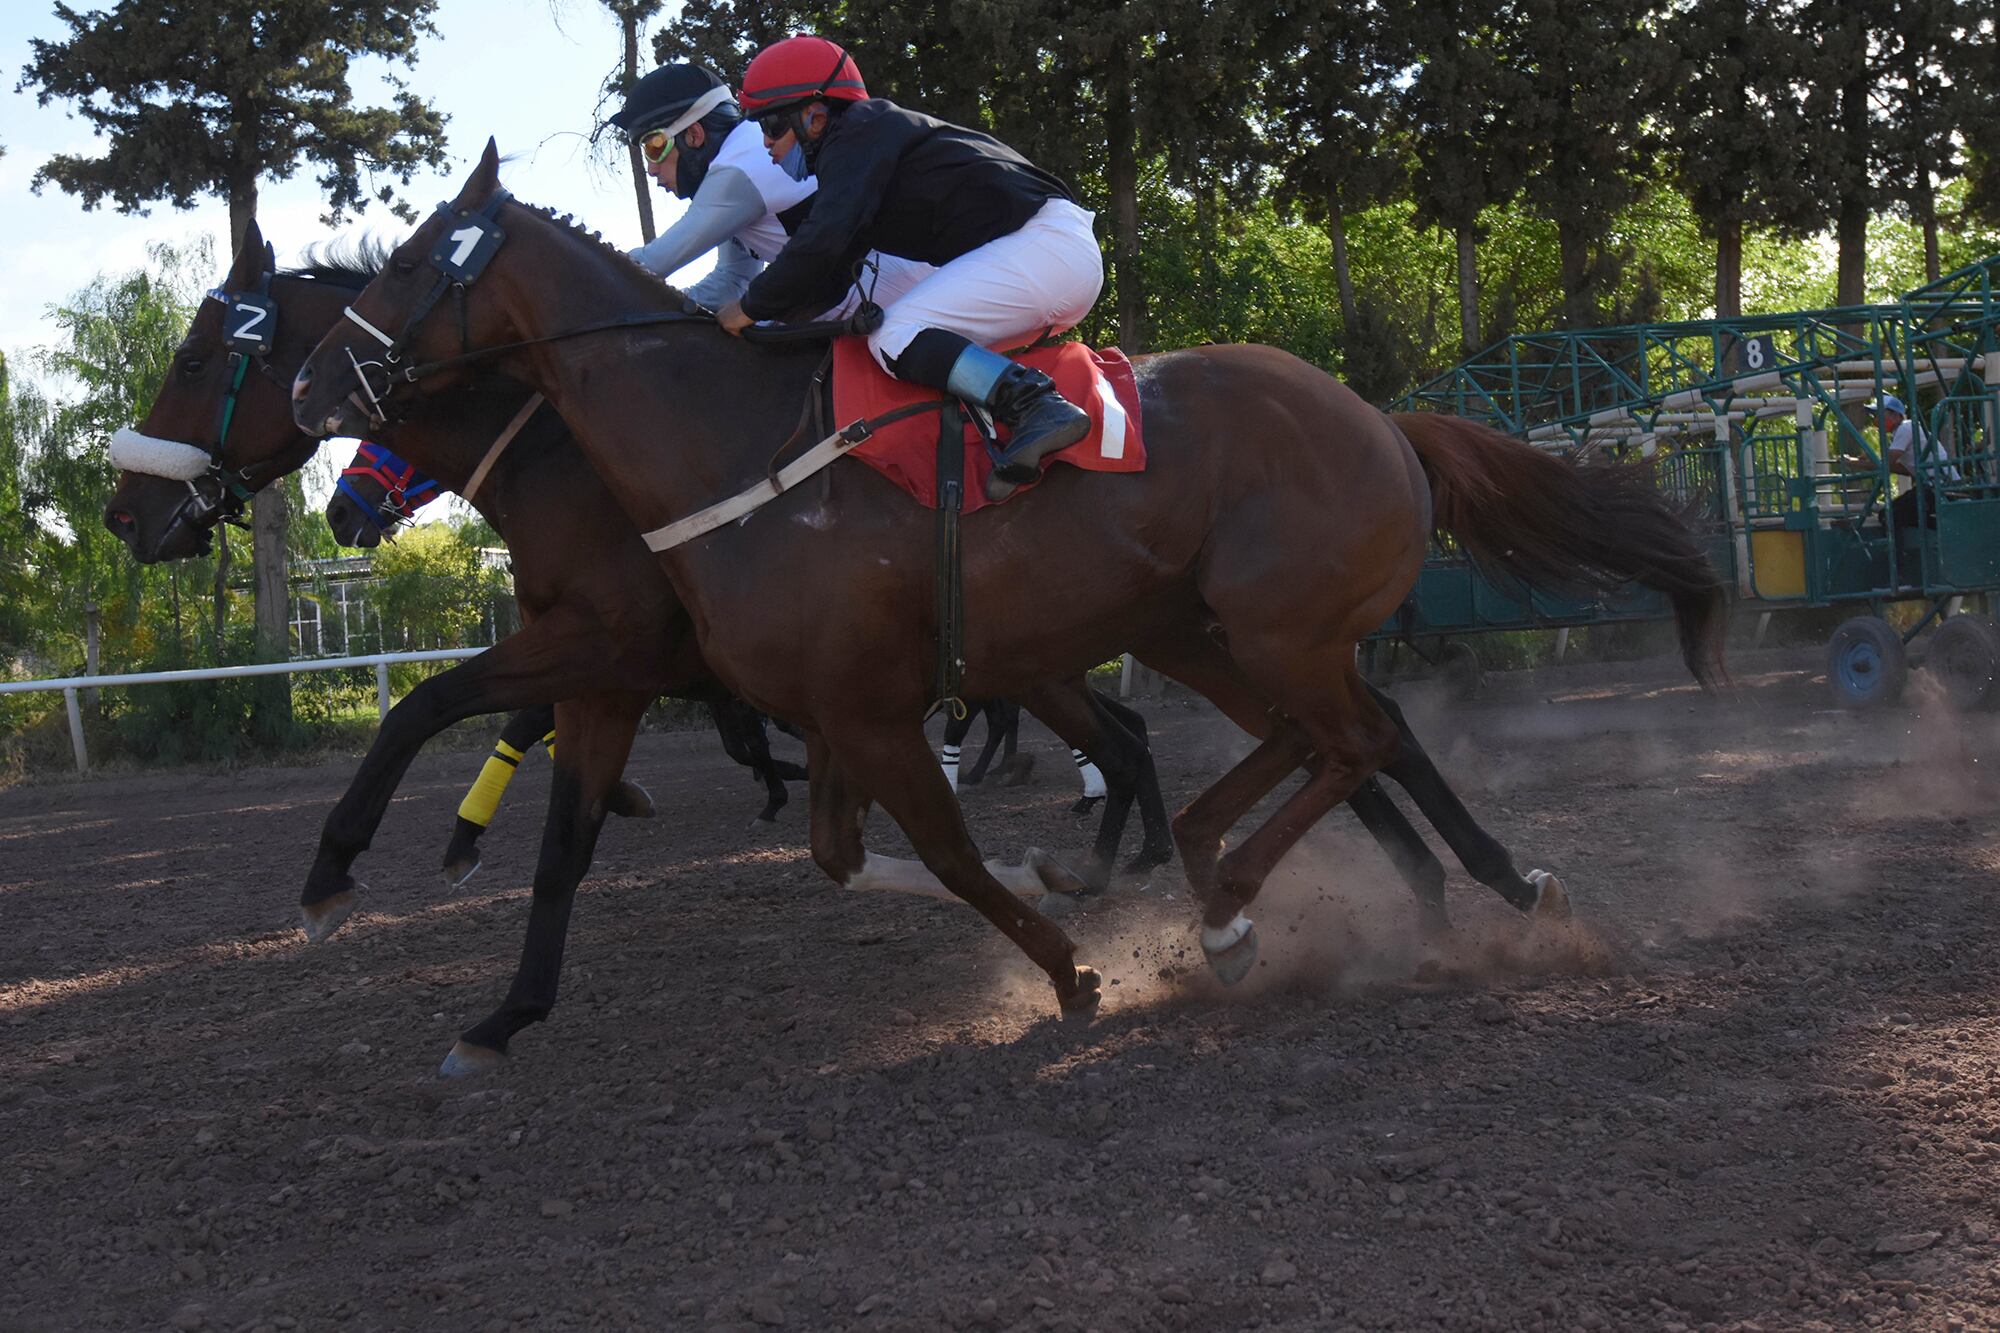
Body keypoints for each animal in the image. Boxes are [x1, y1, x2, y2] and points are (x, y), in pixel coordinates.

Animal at [290, 143, 1728, 1016]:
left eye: (407, 264)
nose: (312, 390)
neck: (724, 445)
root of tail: (1379, 418)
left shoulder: (829, 697)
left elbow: (936, 843)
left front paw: (1070, 957)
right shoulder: (790, 692)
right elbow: (825, 839)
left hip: (1272, 628)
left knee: (1353, 737)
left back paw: (1254, 898)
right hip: (1209, 626)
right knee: (1331, 738)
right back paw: (1306, 875)